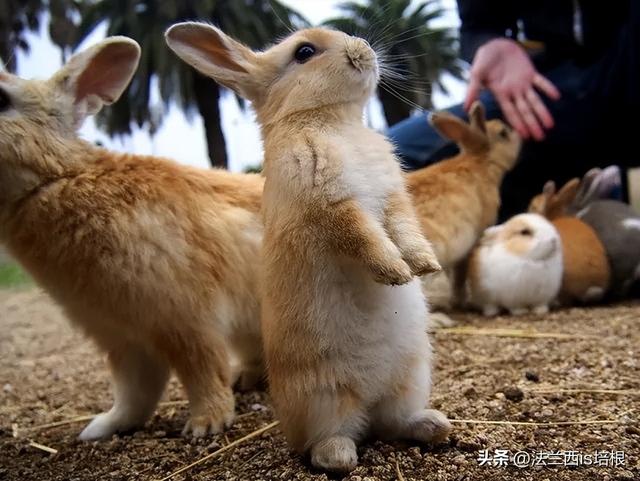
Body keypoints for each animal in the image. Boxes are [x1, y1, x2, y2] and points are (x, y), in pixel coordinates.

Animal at [0, 38, 266, 438]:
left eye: (1, 99)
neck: (57, 178)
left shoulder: (184, 320)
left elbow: (201, 371)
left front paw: (206, 424)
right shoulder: (121, 337)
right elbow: (135, 392)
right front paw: (101, 428)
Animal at [168, 23, 452, 472]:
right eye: (304, 52)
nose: (364, 49)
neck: (332, 121)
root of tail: (368, 401)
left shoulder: (393, 199)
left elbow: (405, 229)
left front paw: (424, 267)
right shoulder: (332, 205)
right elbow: (365, 237)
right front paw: (395, 273)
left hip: (411, 378)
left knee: (392, 423)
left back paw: (434, 425)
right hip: (323, 397)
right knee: (329, 440)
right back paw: (339, 456)